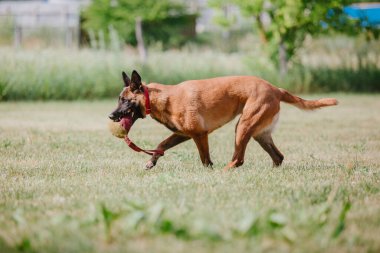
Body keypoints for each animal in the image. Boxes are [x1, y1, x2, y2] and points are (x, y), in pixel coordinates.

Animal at [108, 70, 336, 170]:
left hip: (242, 127)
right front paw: (151, 161)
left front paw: (209, 170)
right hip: (260, 134)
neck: (161, 98)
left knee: (239, 159)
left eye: (124, 100)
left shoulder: (199, 135)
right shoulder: (183, 134)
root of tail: (275, 89)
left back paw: (224, 172)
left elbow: (204, 159)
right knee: (278, 157)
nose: (111, 116)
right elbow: (161, 145)